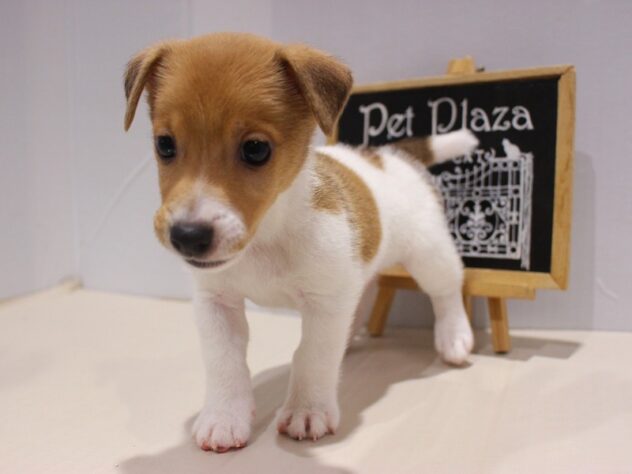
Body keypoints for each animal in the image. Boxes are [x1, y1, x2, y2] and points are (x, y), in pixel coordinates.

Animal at [124, 33, 476, 452]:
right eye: (164, 145)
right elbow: (224, 362)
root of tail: (391, 155)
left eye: (256, 149)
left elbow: (313, 355)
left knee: (446, 292)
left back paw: (454, 336)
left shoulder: (324, 304)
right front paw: (224, 416)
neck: (267, 236)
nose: (187, 237)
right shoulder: (217, 302)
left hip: (429, 255)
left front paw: (307, 411)